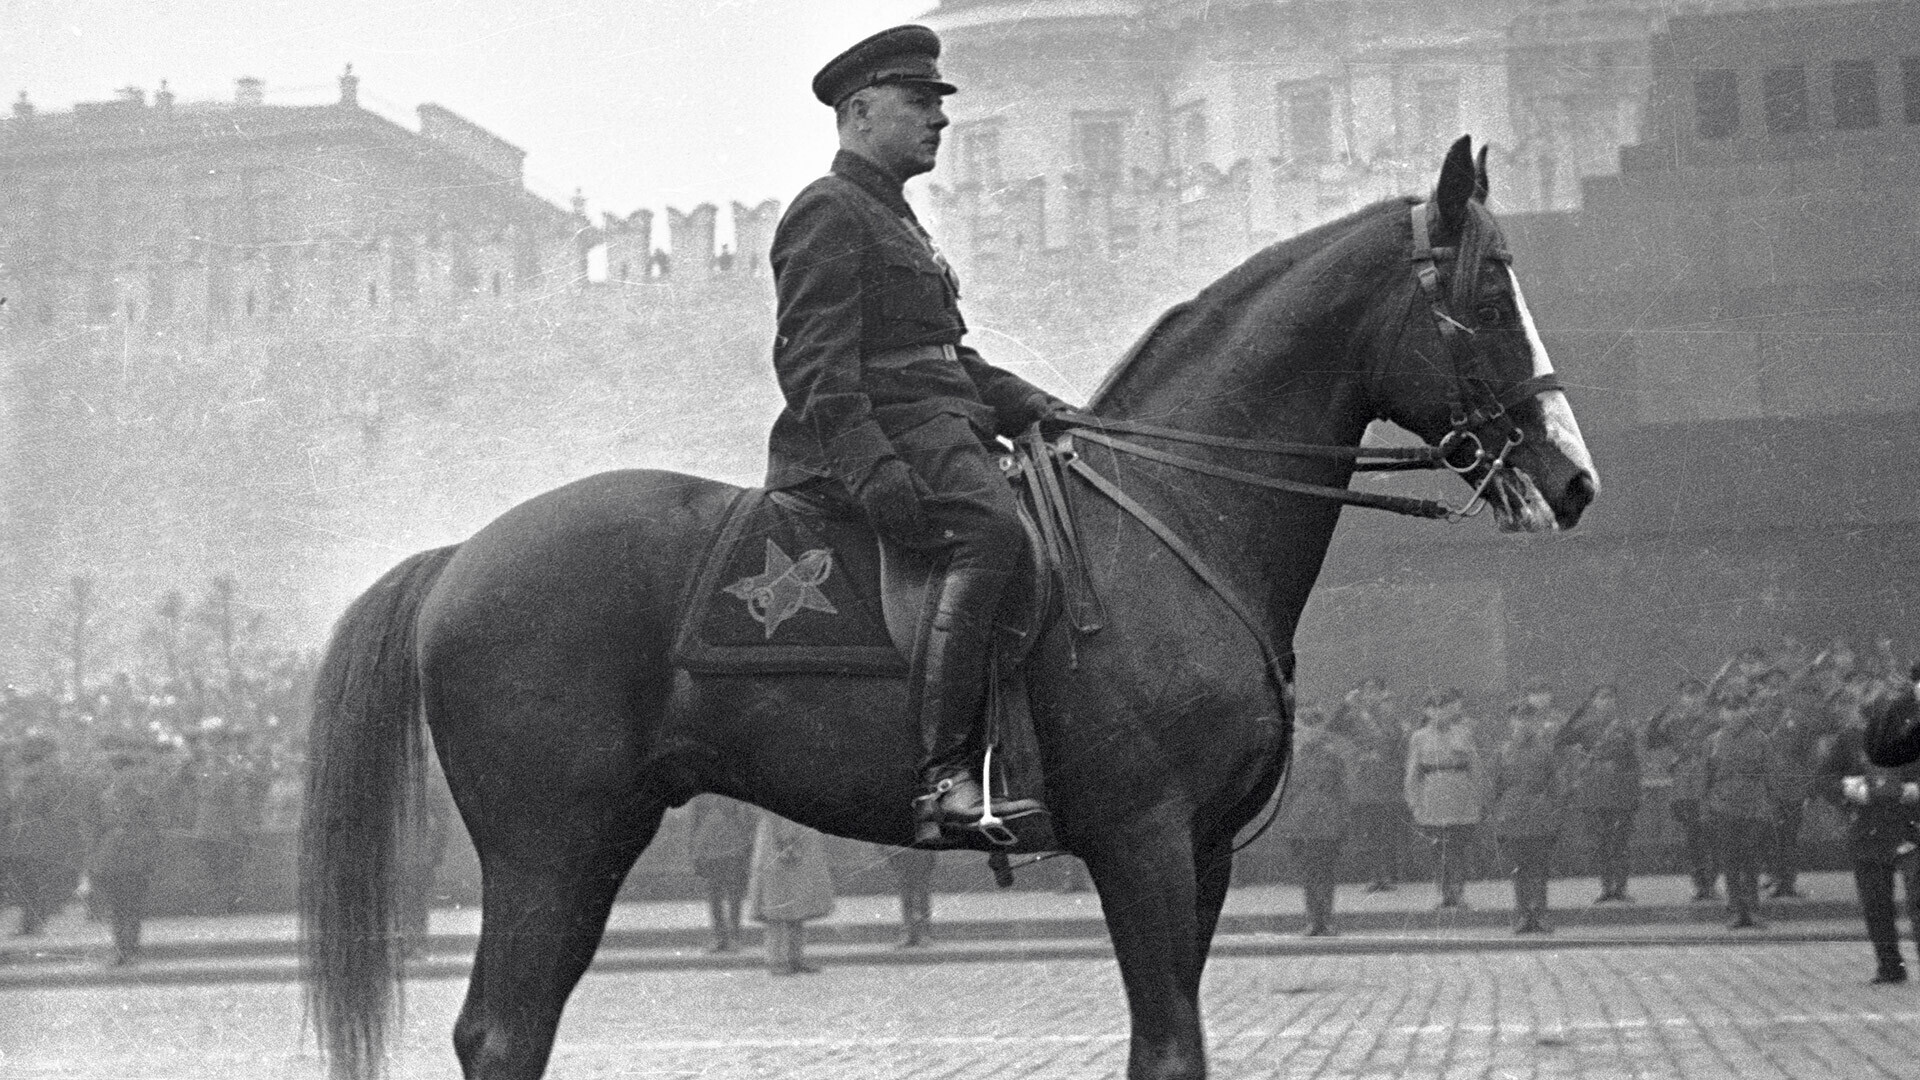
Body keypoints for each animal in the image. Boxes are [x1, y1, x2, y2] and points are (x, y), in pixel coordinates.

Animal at [295, 136, 1589, 1076]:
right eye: (1486, 290)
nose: (1575, 478)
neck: (1171, 513)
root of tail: (463, 554)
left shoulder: (1207, 852)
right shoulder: (1145, 840)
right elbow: (1171, 1046)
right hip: (550, 844)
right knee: (503, 1032)